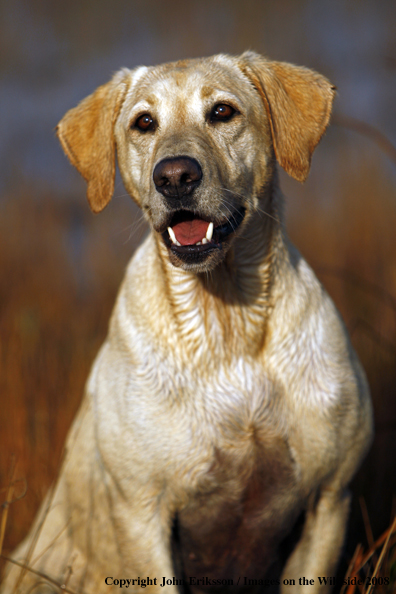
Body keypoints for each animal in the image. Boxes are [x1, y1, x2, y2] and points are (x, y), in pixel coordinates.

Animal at [3, 52, 372, 592]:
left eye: (222, 112)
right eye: (144, 122)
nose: (175, 176)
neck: (227, 323)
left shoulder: (329, 501)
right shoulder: (141, 512)